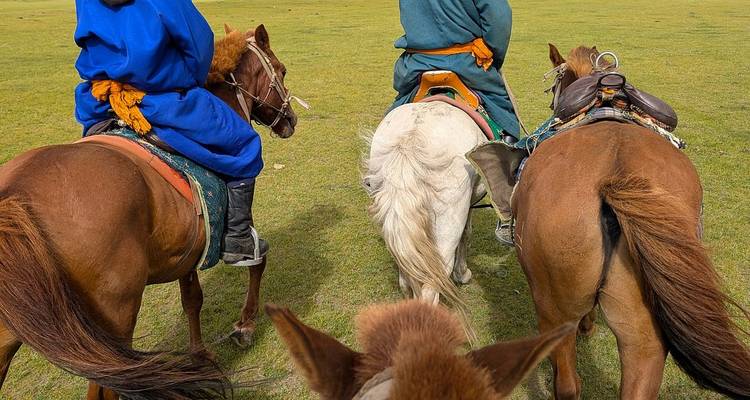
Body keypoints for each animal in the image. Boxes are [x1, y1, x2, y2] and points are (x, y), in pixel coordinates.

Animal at [0, 24, 297, 399]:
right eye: (281, 71)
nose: (291, 120)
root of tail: (14, 198)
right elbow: (257, 261)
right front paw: (245, 326)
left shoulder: (190, 246)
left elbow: (192, 298)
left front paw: (200, 356)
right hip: (114, 317)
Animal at [364, 100, 488, 318]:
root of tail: (411, 138)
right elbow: (467, 233)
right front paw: (463, 274)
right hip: (447, 223)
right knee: (431, 289)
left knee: (406, 281)